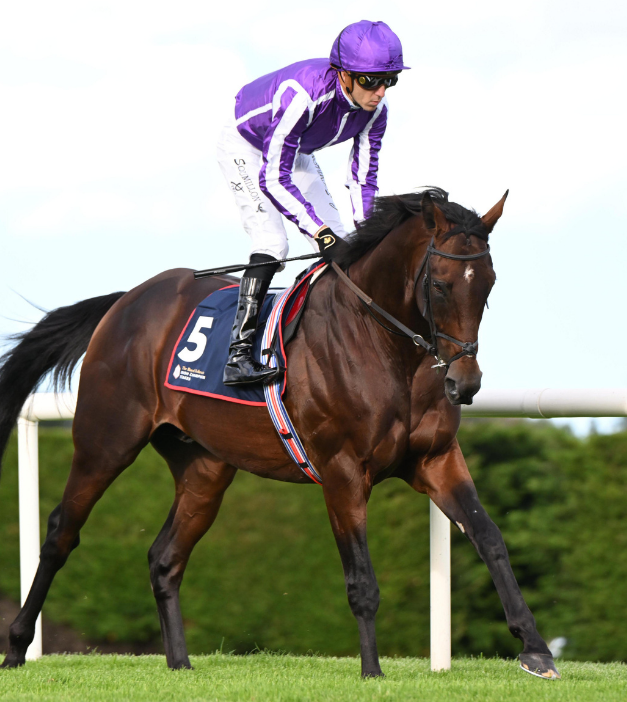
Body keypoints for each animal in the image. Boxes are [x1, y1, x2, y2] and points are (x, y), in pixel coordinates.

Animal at [0, 188, 560, 680]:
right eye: (441, 284)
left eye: (487, 283)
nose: (465, 383)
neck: (384, 346)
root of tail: (125, 302)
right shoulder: (341, 470)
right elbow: (361, 579)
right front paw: (372, 671)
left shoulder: (436, 459)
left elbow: (490, 538)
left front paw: (536, 649)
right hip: (106, 440)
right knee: (61, 533)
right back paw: (17, 647)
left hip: (205, 467)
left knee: (165, 558)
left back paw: (179, 664)